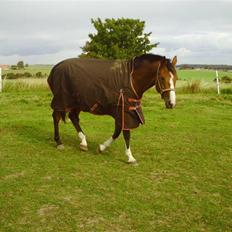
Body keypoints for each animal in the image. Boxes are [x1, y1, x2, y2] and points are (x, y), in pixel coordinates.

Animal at [47, 54, 178, 163]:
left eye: (175, 78)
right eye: (162, 77)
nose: (171, 103)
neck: (132, 79)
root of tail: (56, 67)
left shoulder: (123, 112)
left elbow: (117, 131)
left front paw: (102, 147)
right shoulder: (125, 111)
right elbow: (125, 133)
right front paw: (130, 157)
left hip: (78, 102)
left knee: (73, 117)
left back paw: (83, 142)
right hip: (62, 100)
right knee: (56, 117)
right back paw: (59, 142)